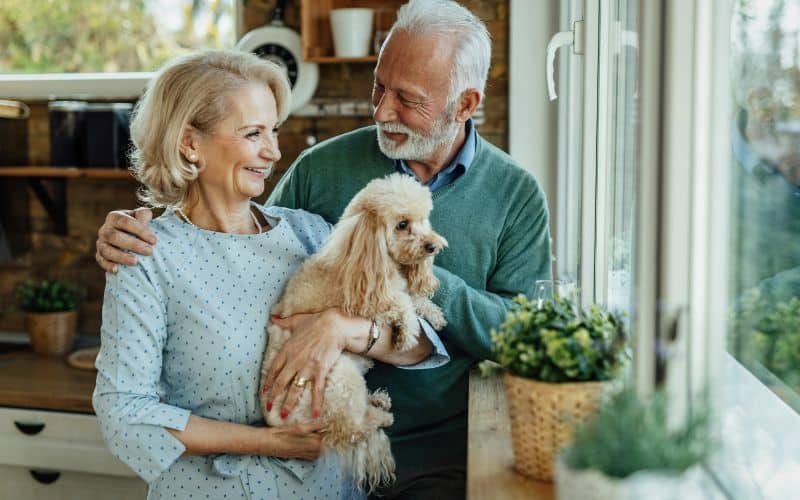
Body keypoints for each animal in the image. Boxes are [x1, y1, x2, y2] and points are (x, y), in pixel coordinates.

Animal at [262, 174, 450, 494]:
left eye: (424, 219)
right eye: (402, 224)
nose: (433, 246)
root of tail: (277, 422)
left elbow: (413, 298)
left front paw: (433, 314)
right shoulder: (366, 302)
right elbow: (400, 303)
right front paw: (408, 332)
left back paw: (377, 401)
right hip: (338, 377)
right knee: (351, 428)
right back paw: (379, 415)